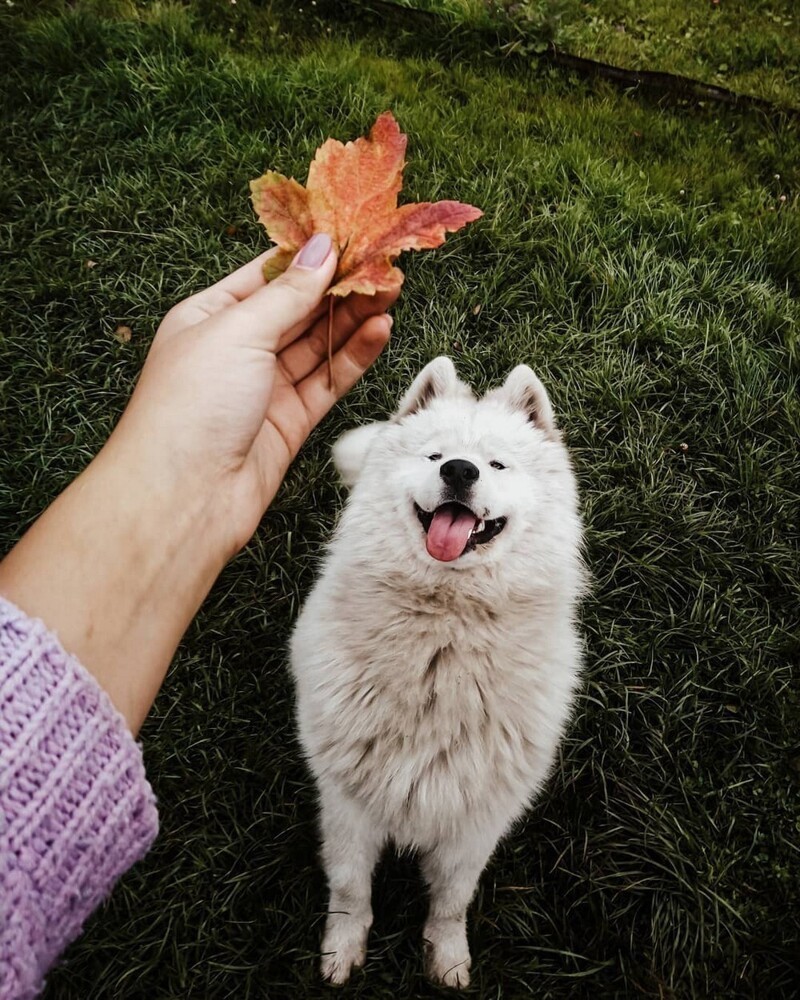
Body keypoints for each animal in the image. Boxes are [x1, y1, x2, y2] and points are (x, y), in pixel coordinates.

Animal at [290, 356, 584, 988]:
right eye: (434, 455)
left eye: (496, 463)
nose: (460, 469)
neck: (444, 633)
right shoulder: (348, 806)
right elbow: (350, 890)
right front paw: (341, 952)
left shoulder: (475, 822)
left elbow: (451, 900)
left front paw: (447, 958)